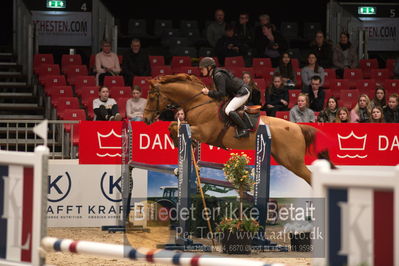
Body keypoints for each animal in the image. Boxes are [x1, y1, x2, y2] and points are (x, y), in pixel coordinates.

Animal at [144, 72, 332, 185]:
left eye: (152, 96)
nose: (146, 119)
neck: (198, 102)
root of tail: (298, 127)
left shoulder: (204, 132)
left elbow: (175, 126)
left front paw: (179, 143)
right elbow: (173, 126)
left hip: (293, 161)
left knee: (311, 178)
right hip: (284, 159)